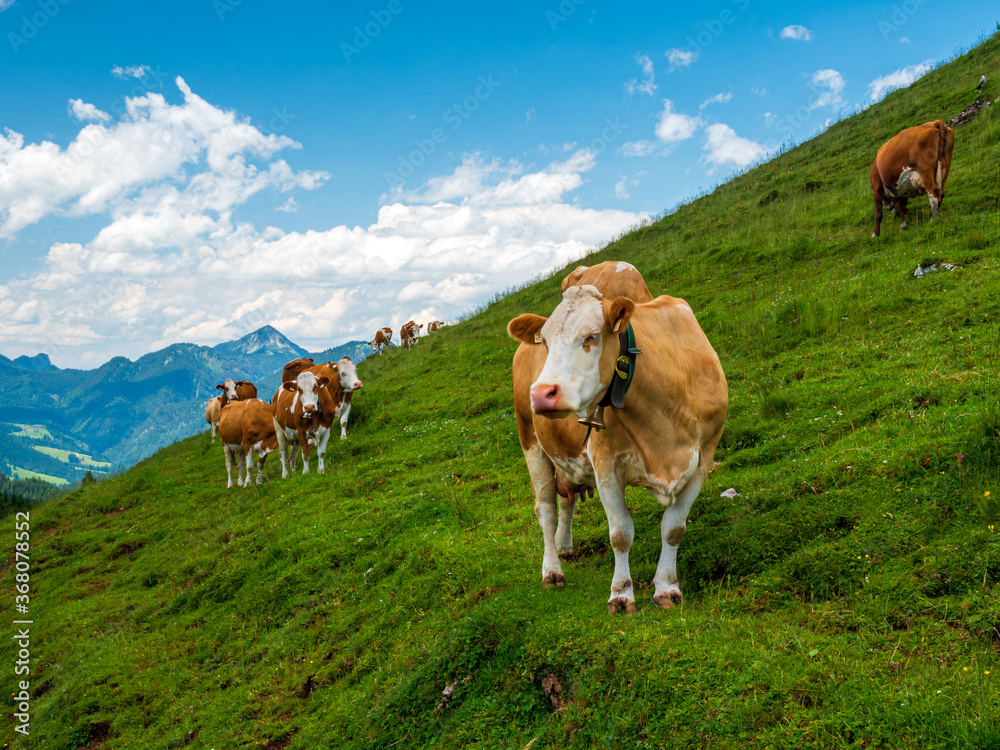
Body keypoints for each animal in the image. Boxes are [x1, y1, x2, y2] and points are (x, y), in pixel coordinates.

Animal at [508, 283, 728, 614]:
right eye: (544, 342)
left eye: (592, 336)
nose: (543, 393)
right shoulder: (605, 462)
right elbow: (621, 533)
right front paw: (622, 594)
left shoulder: (704, 458)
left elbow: (674, 528)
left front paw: (667, 588)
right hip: (530, 441)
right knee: (545, 508)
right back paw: (552, 570)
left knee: (567, 501)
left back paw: (565, 546)